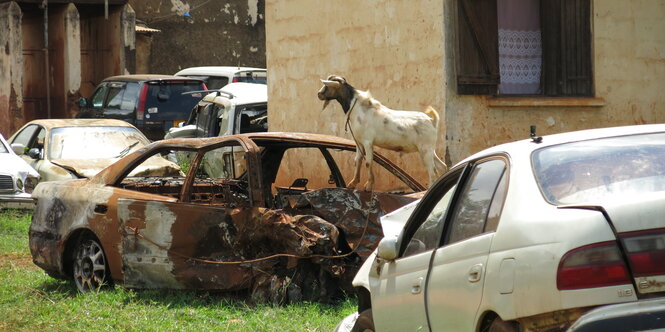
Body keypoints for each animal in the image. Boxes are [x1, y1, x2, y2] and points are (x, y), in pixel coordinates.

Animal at [316, 74, 446, 189]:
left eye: (327, 86)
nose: (319, 94)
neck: (358, 109)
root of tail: (432, 121)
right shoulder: (359, 142)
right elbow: (357, 160)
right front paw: (352, 184)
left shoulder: (368, 141)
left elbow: (368, 162)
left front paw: (368, 186)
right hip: (429, 149)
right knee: (442, 166)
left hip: (425, 149)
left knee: (432, 171)